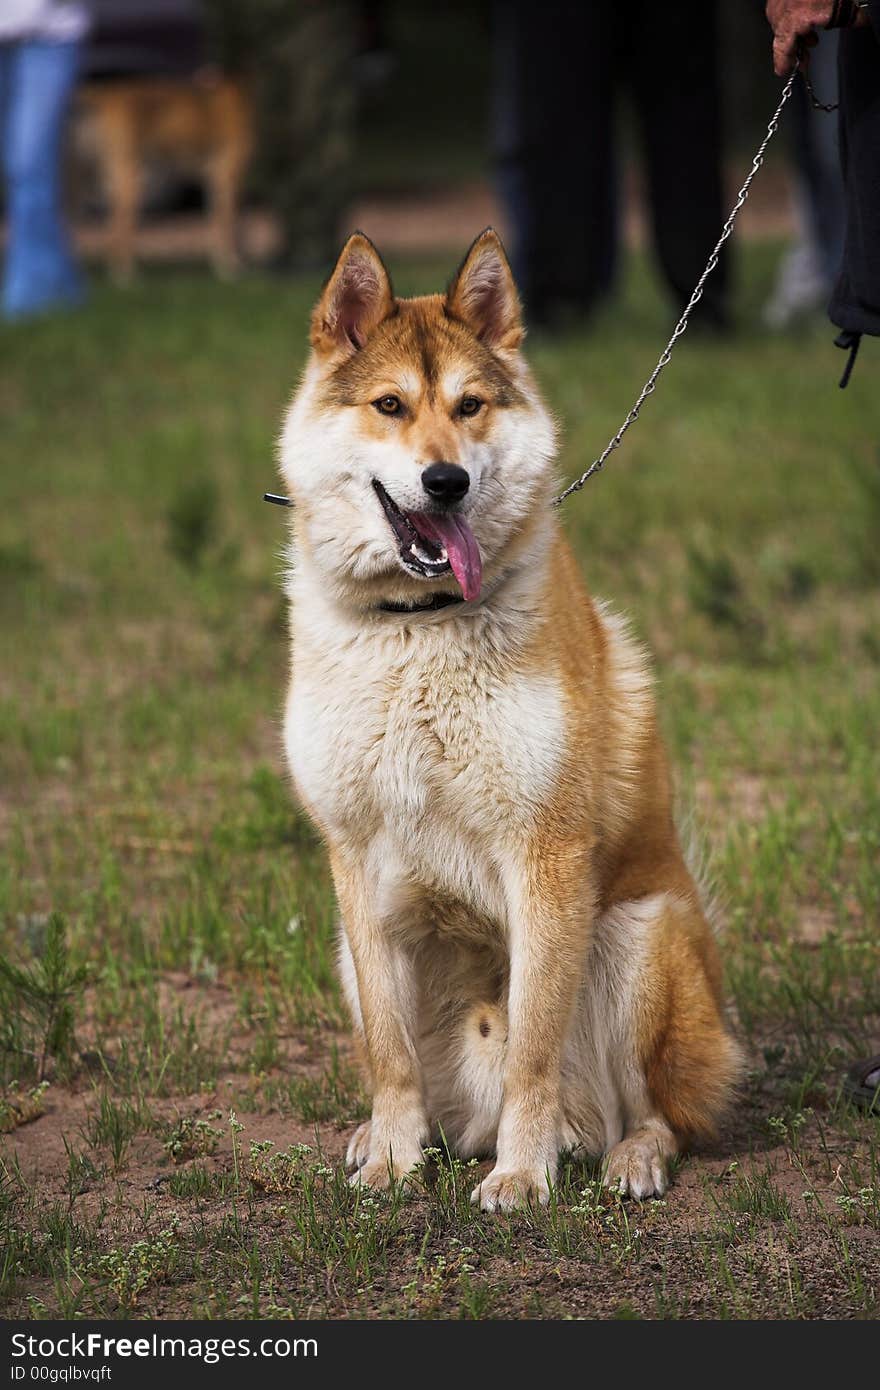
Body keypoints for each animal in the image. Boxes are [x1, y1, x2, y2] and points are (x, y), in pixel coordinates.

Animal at [276, 227, 739, 1206]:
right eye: (389, 405)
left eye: (471, 405)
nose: (445, 480)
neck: (420, 625)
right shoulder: (355, 864)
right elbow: (390, 1054)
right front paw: (391, 1156)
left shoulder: (545, 856)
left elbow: (534, 1045)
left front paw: (525, 1176)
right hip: (343, 951)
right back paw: (385, 1137)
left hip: (639, 939)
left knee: (659, 1112)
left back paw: (625, 1156)